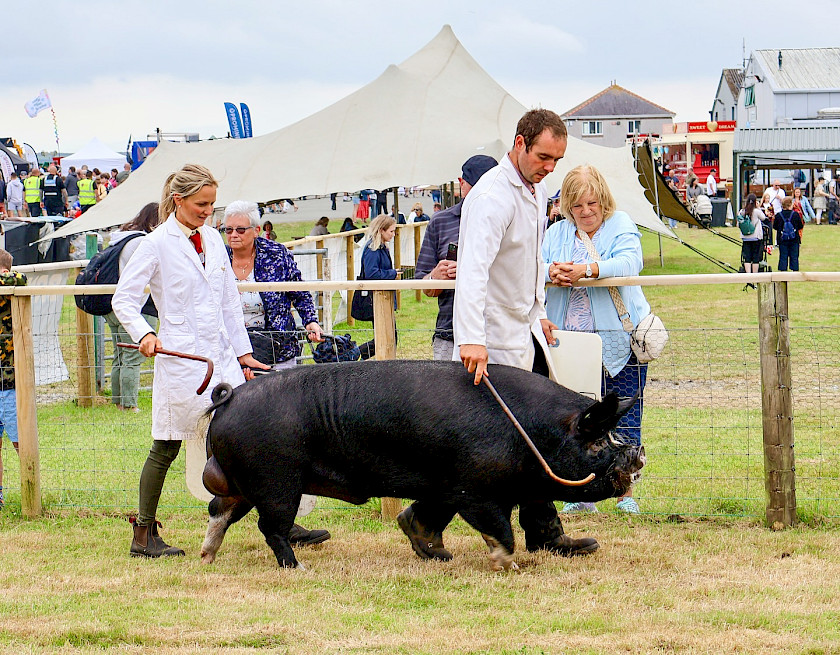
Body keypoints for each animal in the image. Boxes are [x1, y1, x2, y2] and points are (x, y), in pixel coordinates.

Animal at [200, 360, 645, 571]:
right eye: (596, 441)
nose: (637, 454)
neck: (529, 432)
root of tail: (229, 399)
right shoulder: (475, 490)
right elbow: (500, 530)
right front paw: (507, 565)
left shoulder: (444, 487)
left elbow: (424, 517)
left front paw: (438, 555)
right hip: (276, 481)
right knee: (270, 527)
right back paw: (299, 568)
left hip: (242, 483)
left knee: (218, 511)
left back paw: (206, 558)